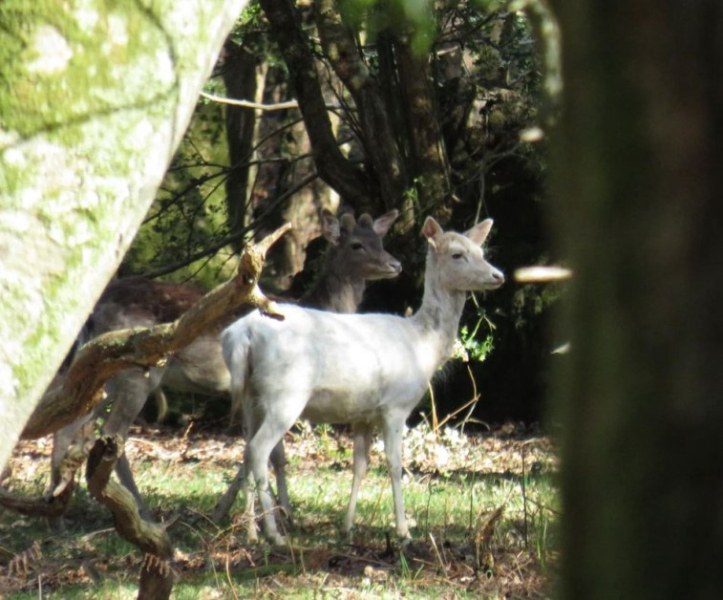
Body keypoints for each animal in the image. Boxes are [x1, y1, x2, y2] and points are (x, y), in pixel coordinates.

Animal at [221, 216, 504, 544]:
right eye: (457, 254)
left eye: (481, 251)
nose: (498, 275)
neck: (424, 345)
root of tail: (241, 334)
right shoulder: (396, 405)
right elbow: (395, 464)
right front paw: (403, 530)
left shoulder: (363, 415)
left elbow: (360, 466)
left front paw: (347, 526)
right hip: (285, 394)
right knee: (259, 450)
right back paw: (274, 533)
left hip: (250, 395)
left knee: (246, 451)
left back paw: (252, 533)